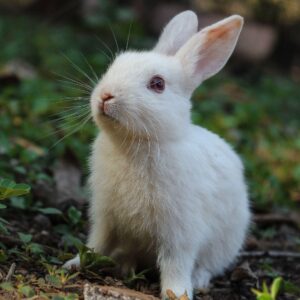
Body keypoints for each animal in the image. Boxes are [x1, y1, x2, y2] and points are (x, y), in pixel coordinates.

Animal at [65, 10, 251, 298]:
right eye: (115, 65)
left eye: (157, 84)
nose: (106, 96)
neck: (138, 143)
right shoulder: (106, 216)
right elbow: (97, 243)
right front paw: (74, 264)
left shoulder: (180, 232)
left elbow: (176, 264)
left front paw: (177, 293)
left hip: (225, 243)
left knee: (208, 265)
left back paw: (198, 280)